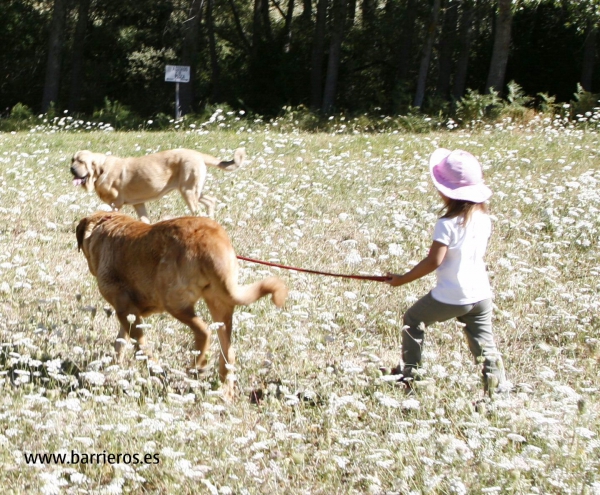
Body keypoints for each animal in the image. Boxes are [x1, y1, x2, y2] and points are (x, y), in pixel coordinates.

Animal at [71, 147, 246, 223]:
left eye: (81, 161)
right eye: (73, 160)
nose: (71, 169)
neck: (100, 170)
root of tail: (197, 154)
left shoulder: (115, 204)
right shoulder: (139, 204)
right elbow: (144, 220)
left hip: (188, 191)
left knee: (199, 211)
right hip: (193, 190)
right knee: (211, 201)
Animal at [75, 211, 288, 398]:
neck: (106, 223)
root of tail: (209, 239)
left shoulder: (126, 310)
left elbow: (141, 347)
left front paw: (154, 370)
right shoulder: (128, 314)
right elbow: (120, 343)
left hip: (174, 302)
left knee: (203, 331)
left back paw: (195, 366)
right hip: (220, 305)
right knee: (228, 352)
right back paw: (224, 391)